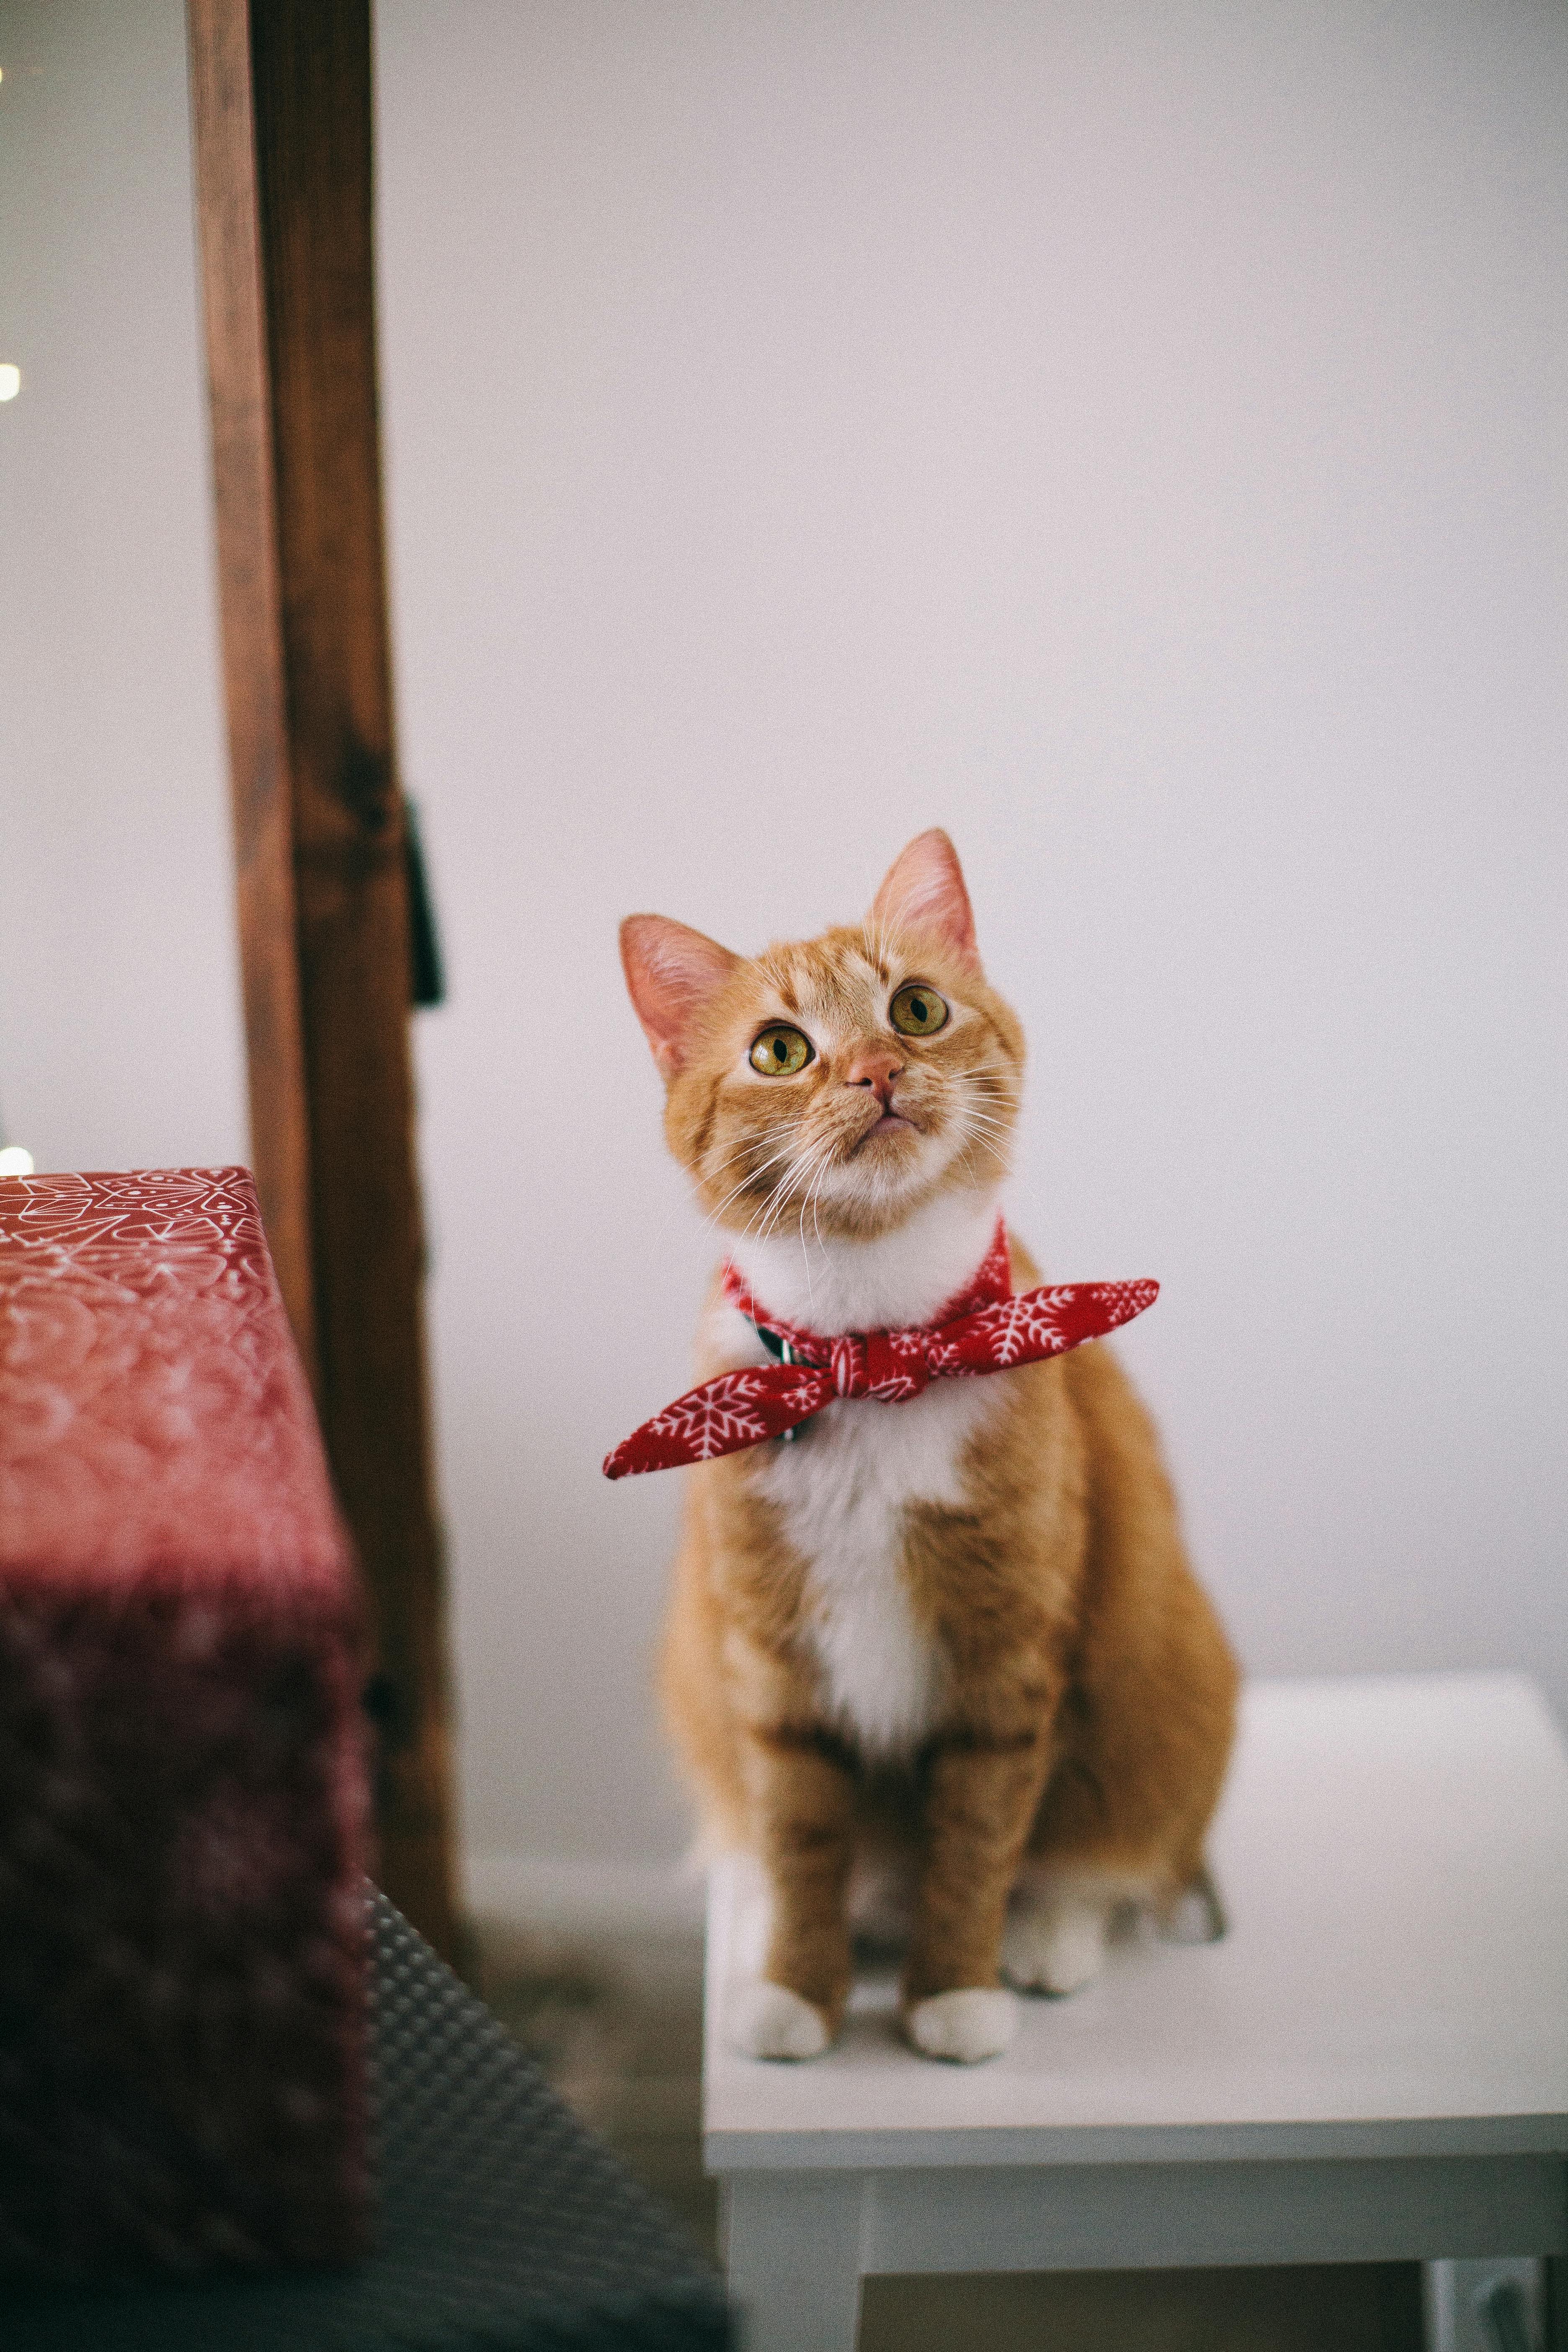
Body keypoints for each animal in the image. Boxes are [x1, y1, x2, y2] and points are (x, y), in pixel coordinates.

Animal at [616, 828, 1241, 2060]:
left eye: (913, 1008)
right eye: (780, 1049)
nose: (874, 1071)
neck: (878, 1356)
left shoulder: (1003, 1662)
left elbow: (977, 1845)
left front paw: (954, 1990)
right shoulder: (773, 1666)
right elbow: (801, 1838)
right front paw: (796, 1988)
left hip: (1163, 1696)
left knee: (1104, 1861)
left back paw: (1047, 1940)